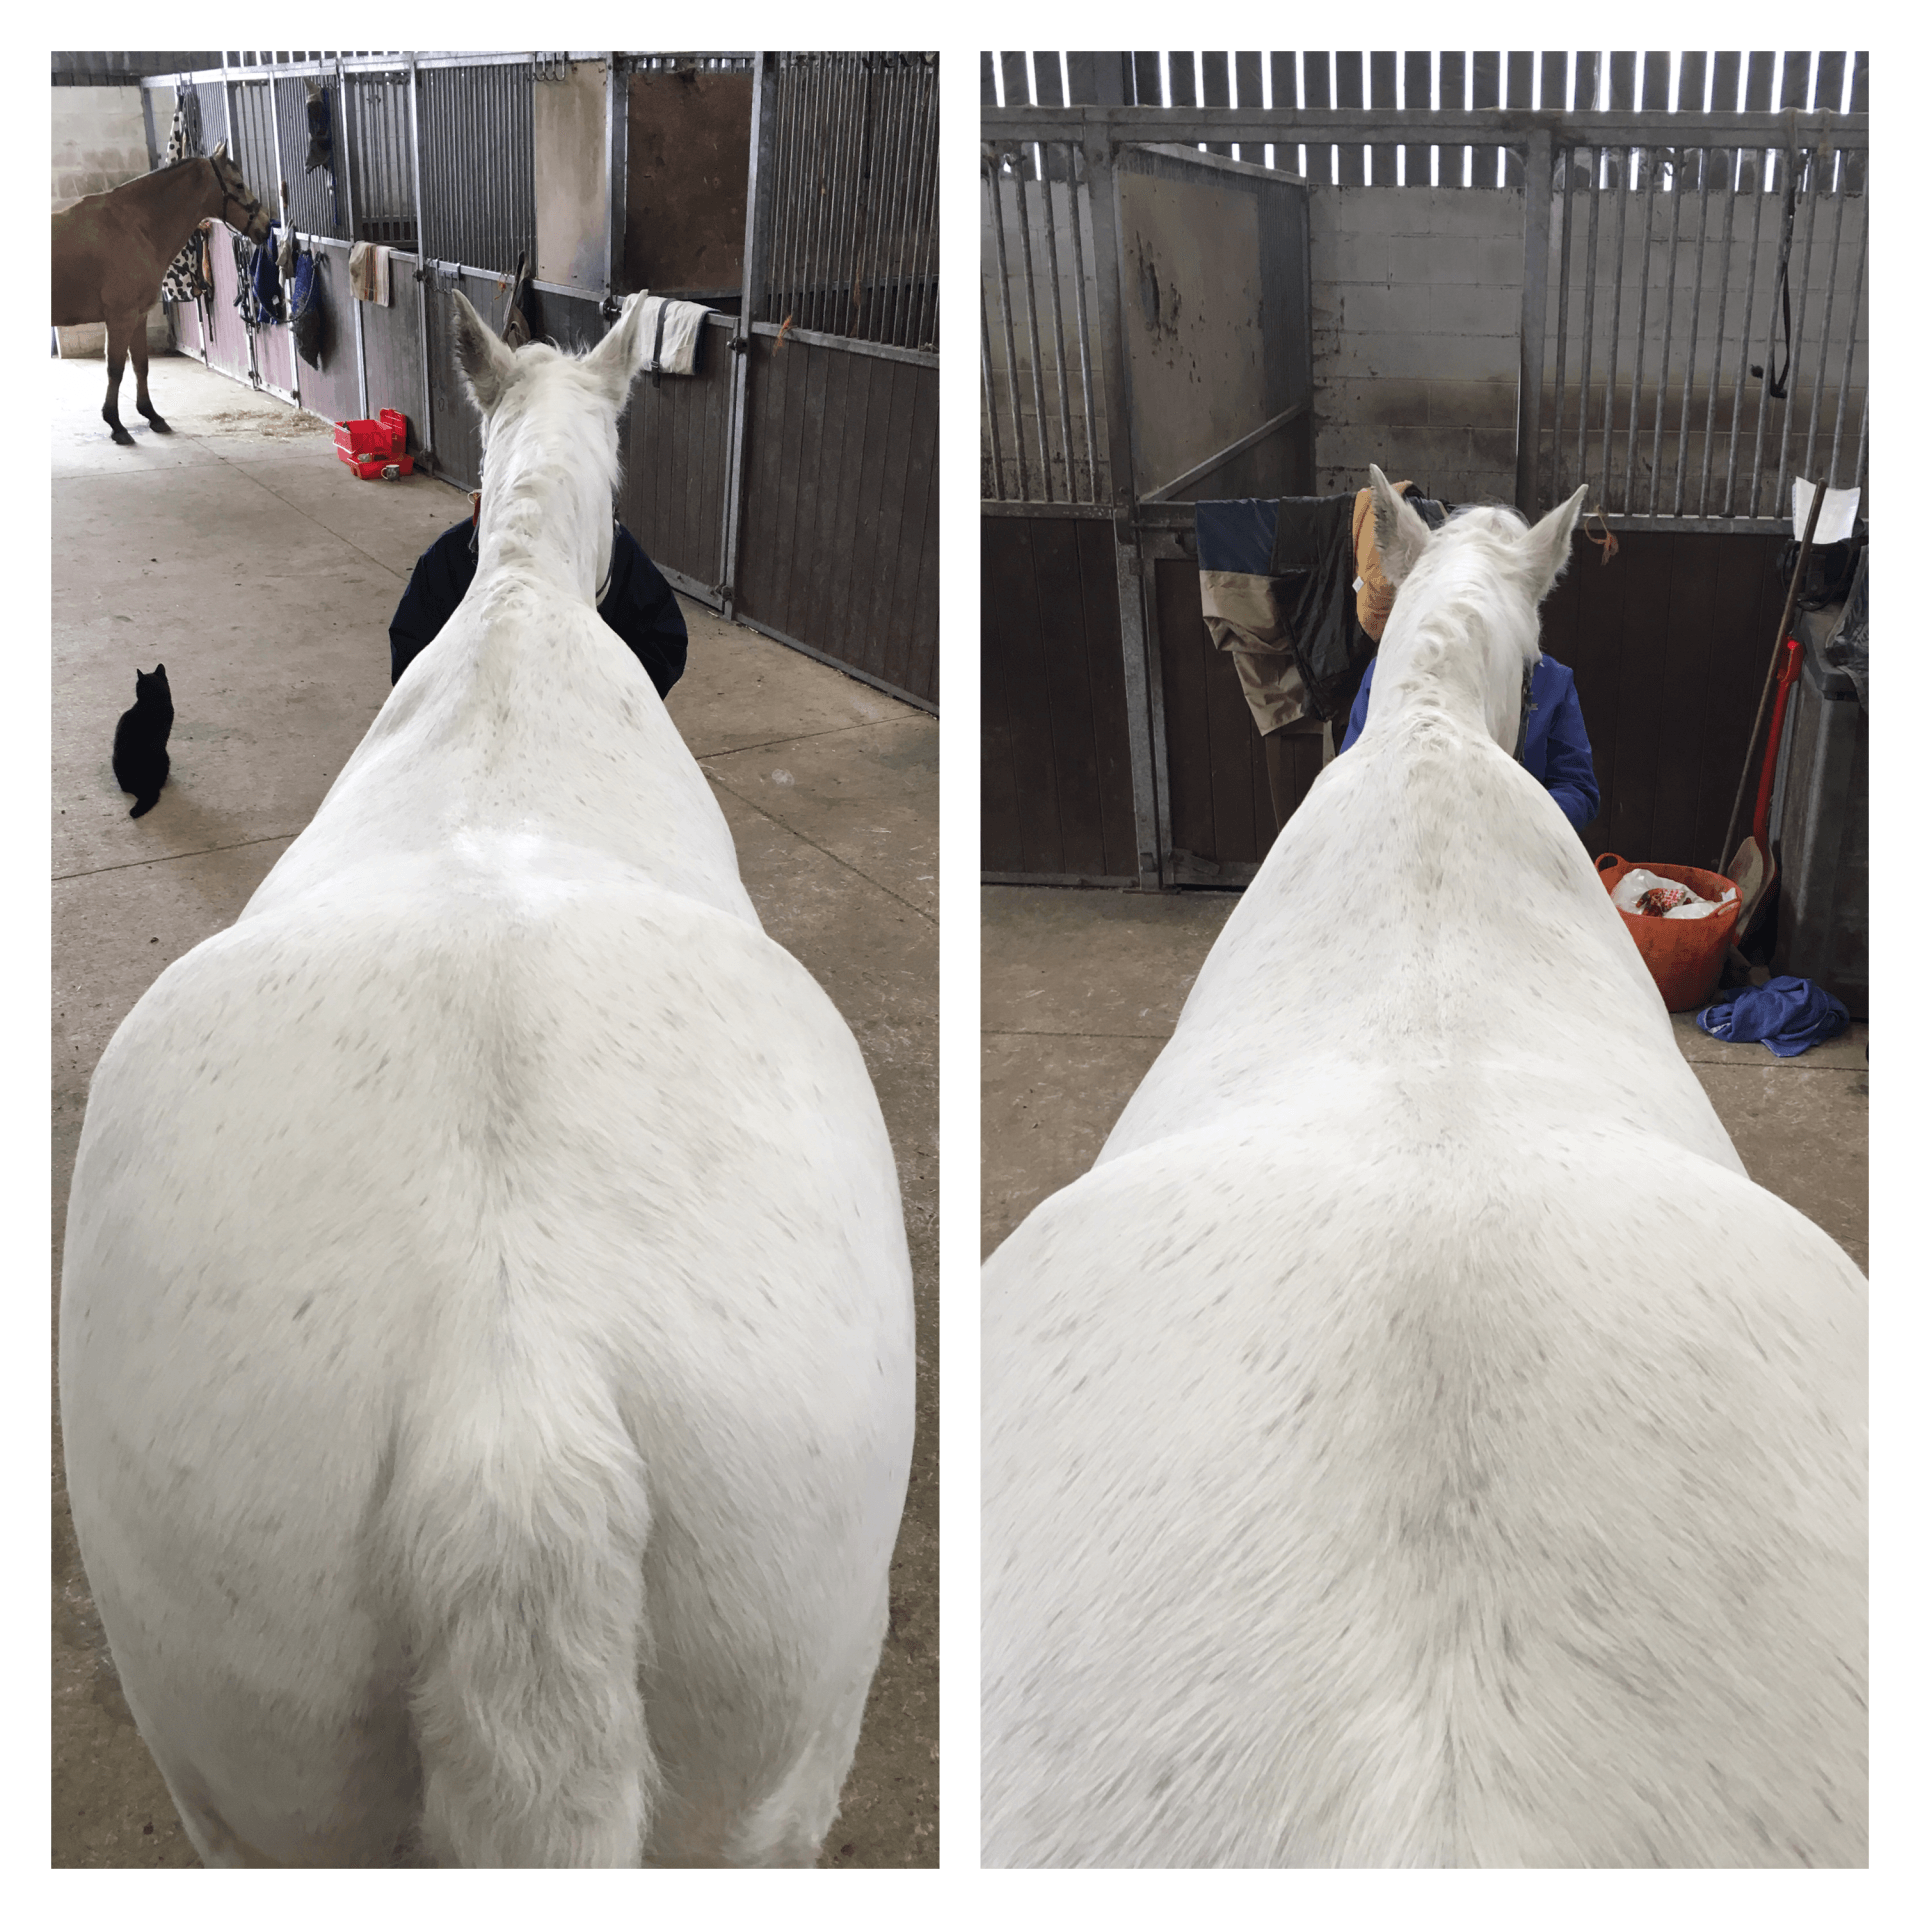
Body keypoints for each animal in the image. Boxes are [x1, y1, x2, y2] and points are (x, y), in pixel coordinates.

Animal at [52, 142, 271, 444]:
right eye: (238, 184)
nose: (267, 226)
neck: (133, 228)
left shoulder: (138, 316)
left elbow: (140, 365)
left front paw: (152, 415)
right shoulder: (121, 317)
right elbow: (115, 370)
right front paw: (116, 424)